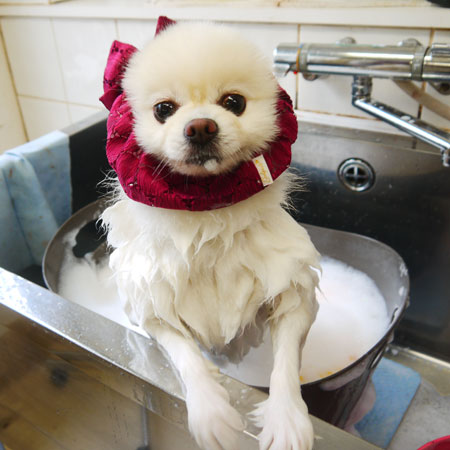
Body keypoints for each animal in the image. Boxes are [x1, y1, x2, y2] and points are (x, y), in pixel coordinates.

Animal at [100, 17, 320, 450]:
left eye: (234, 102)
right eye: (163, 109)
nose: (200, 127)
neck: (208, 218)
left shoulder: (293, 293)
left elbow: (286, 362)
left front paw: (287, 418)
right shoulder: (151, 308)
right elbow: (186, 355)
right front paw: (211, 412)